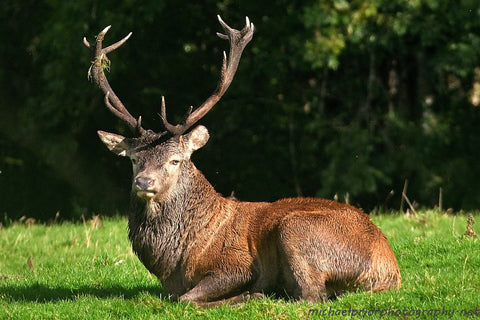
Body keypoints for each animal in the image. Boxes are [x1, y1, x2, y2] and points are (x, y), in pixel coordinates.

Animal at [84, 15, 400, 308]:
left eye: (175, 160)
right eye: (134, 159)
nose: (143, 182)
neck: (176, 259)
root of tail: (391, 269)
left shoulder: (237, 265)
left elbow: (186, 298)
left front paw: (246, 294)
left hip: (296, 230)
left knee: (310, 296)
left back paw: (259, 295)